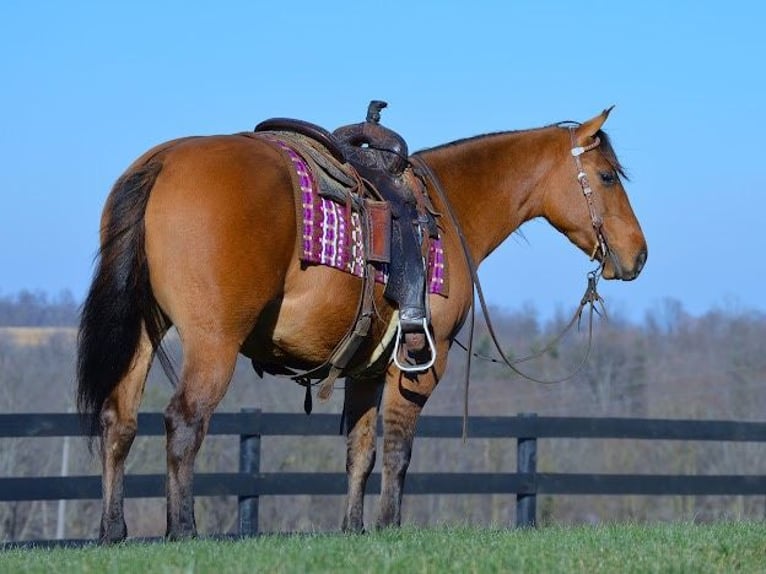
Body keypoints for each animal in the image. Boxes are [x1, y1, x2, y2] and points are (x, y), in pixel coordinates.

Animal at [76, 106, 648, 544]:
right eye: (607, 177)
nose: (638, 255)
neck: (447, 212)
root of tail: (163, 161)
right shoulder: (419, 362)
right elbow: (396, 448)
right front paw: (390, 525)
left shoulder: (366, 369)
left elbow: (361, 449)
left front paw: (353, 528)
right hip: (212, 342)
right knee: (184, 422)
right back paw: (183, 530)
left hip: (143, 333)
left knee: (118, 420)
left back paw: (112, 531)